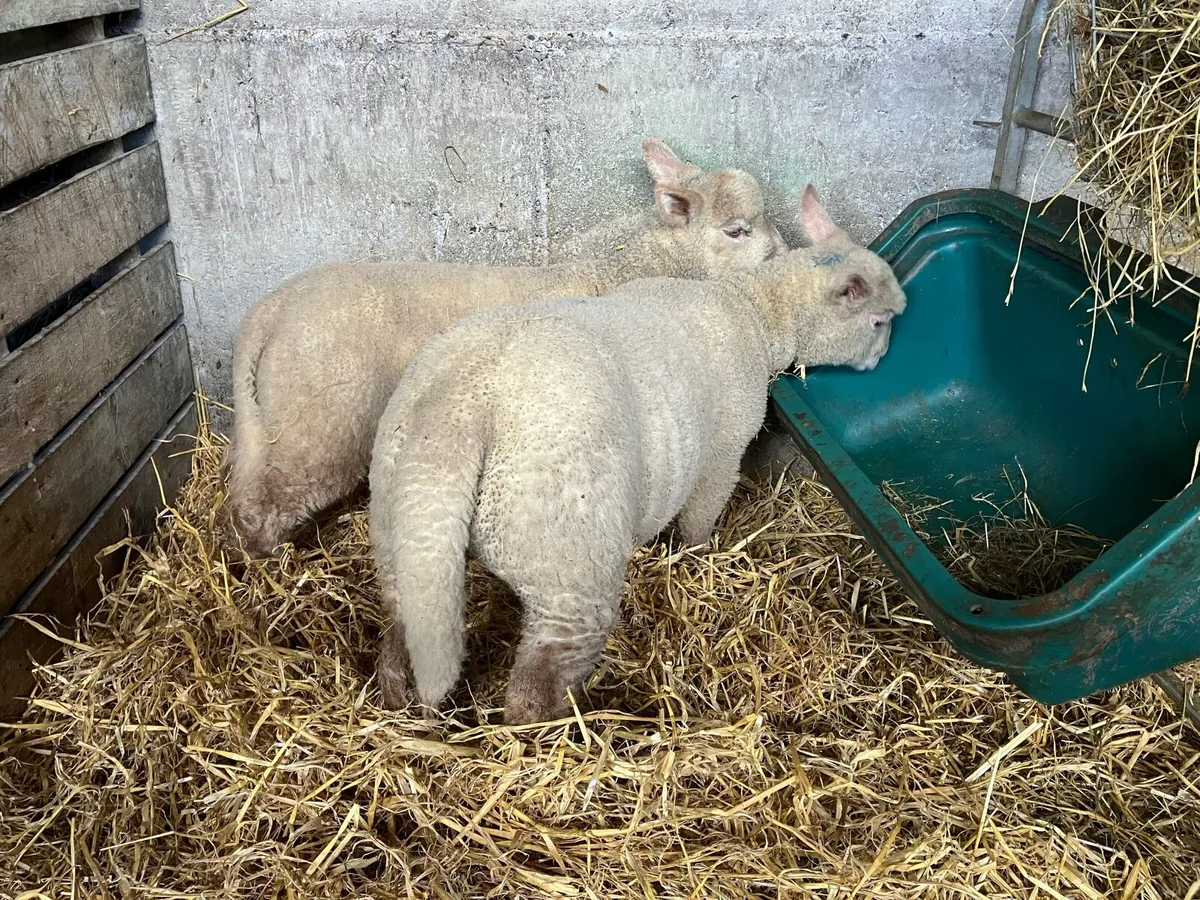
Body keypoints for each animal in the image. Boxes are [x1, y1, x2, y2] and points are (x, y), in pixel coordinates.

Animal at [222, 139, 787, 557]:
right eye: (737, 230)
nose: (785, 254)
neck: (625, 266)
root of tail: (270, 310)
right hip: (320, 424)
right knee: (264, 504)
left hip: (278, 422)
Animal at [368, 185, 907, 724]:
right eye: (878, 320)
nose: (882, 358)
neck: (753, 313)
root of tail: (462, 406)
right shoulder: (723, 453)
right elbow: (699, 519)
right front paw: (698, 555)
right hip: (566, 562)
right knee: (535, 683)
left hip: (405, 536)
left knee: (400, 637)